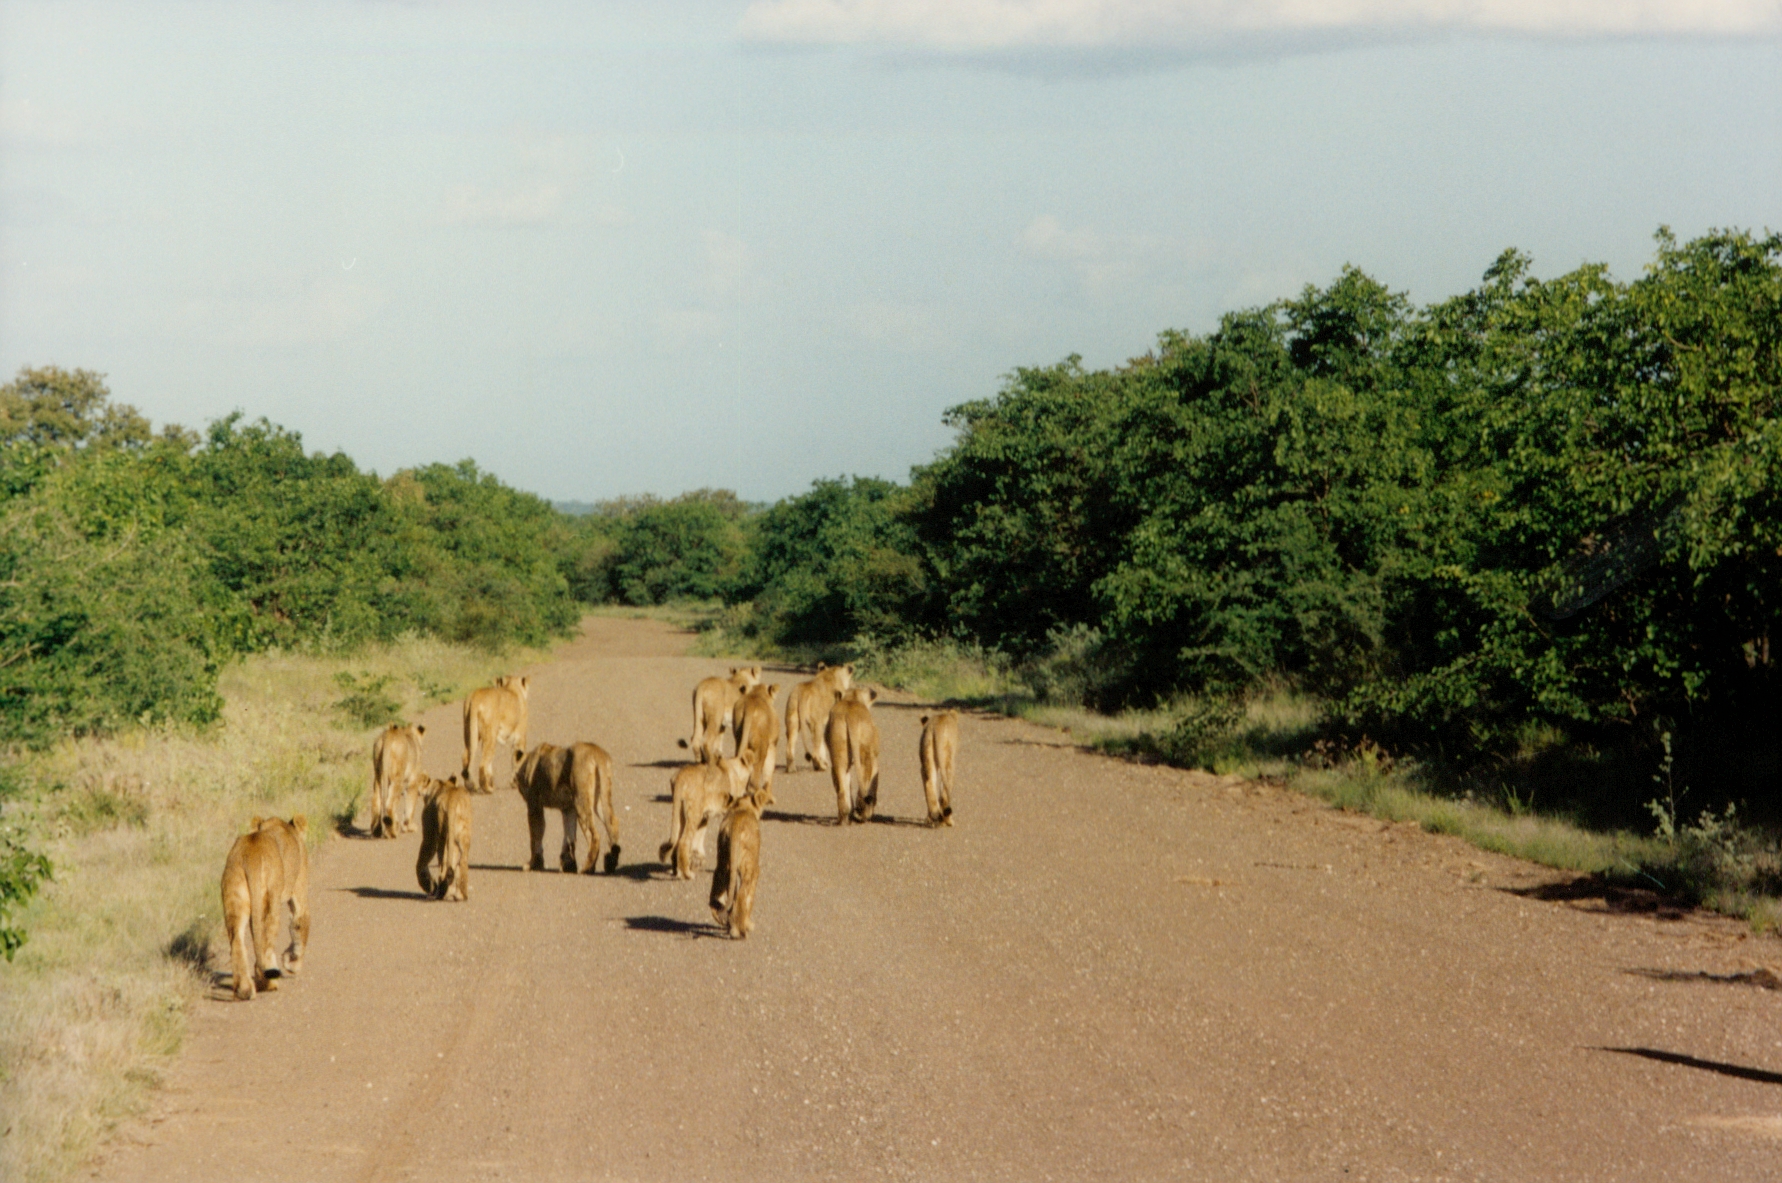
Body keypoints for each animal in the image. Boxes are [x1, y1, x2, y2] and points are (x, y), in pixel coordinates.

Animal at [220, 814, 310, 1001]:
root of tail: (250, 854)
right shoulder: (299, 886)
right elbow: (300, 922)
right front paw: (292, 963)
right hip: (271, 901)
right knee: (266, 942)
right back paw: (269, 983)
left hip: (234, 894)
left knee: (237, 940)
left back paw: (245, 990)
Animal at [513, 741, 622, 874]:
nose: (513, 784)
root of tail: (596, 752)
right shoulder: (568, 809)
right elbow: (569, 837)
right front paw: (569, 865)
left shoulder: (534, 806)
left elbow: (535, 837)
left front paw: (533, 864)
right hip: (600, 799)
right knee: (613, 823)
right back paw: (610, 863)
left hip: (581, 802)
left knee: (594, 835)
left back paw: (587, 868)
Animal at [709, 793, 762, 939]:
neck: (742, 808)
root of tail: (735, 825)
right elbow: (749, 898)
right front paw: (748, 924)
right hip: (748, 867)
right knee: (742, 894)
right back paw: (740, 930)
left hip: (723, 864)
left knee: (716, 894)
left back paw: (723, 919)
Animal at [825, 686, 881, 824]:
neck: (852, 699)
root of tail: (850, 715)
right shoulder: (875, 758)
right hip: (865, 756)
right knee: (865, 783)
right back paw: (863, 813)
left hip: (839, 755)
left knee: (841, 789)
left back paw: (845, 818)